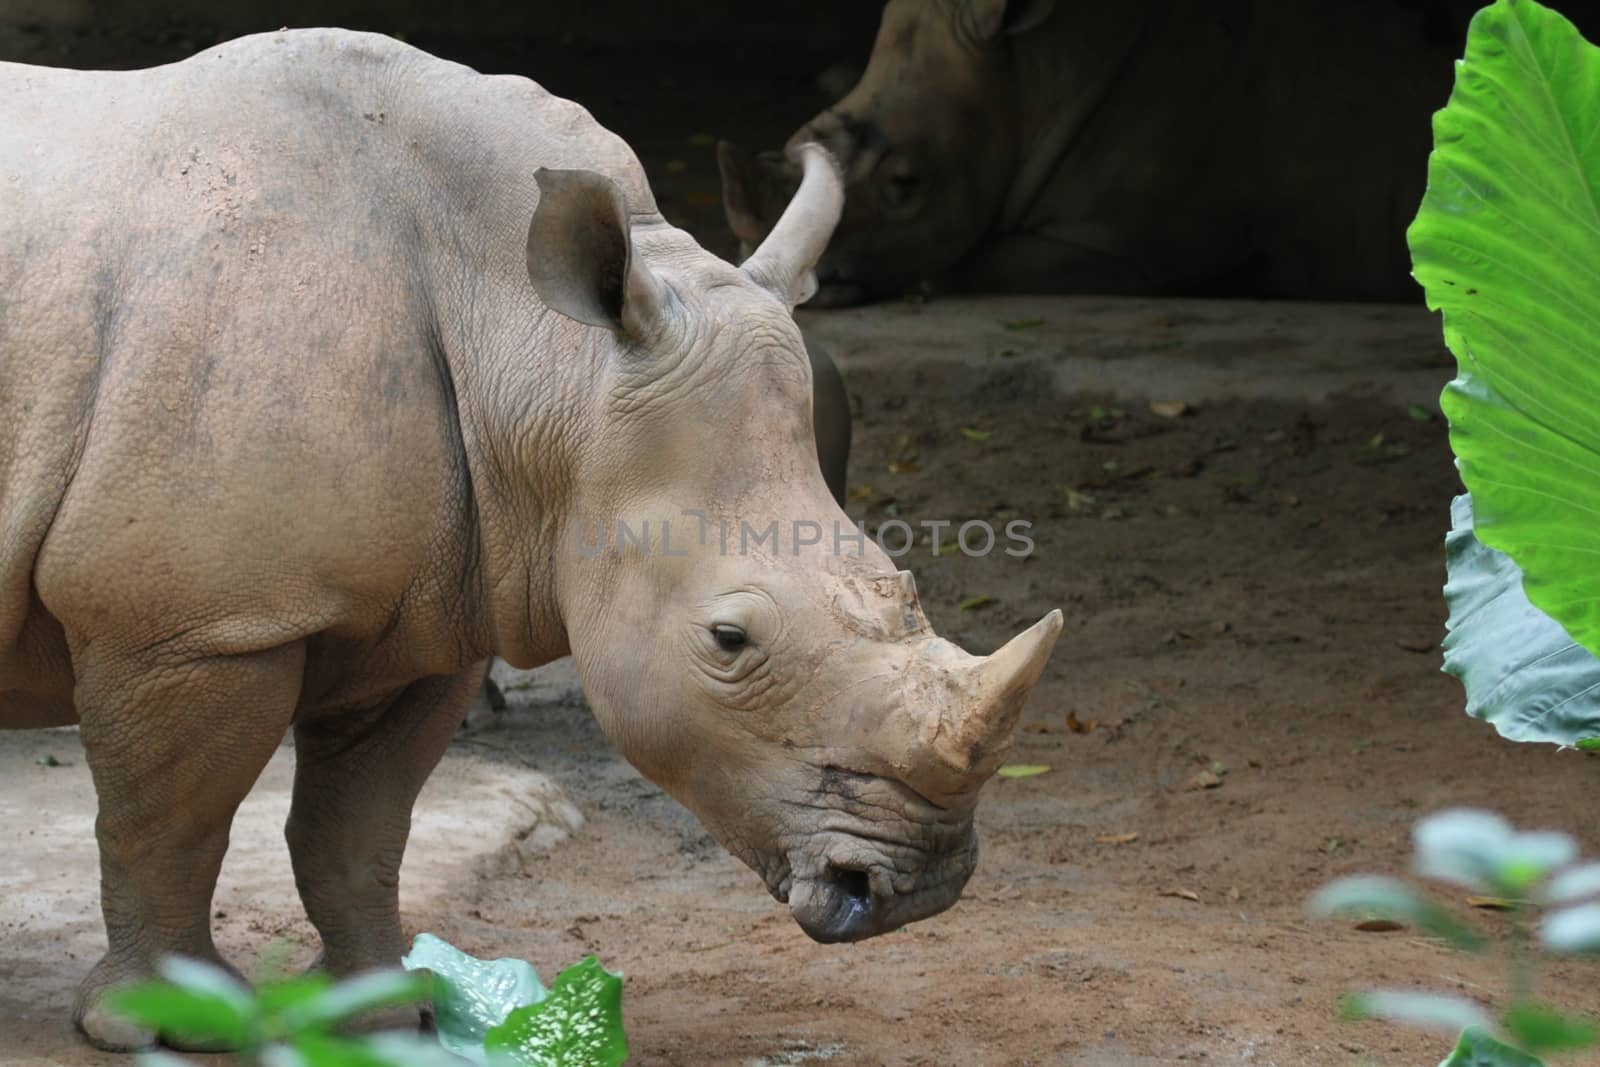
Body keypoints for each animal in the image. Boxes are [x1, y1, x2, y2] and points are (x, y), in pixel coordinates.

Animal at [0, 29, 1062, 1055]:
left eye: (900, 582)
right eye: (729, 640)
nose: (919, 886)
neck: (541, 352)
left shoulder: (419, 616)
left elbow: (360, 828)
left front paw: (388, 1017)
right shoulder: (194, 623)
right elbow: (170, 823)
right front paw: (161, 1025)